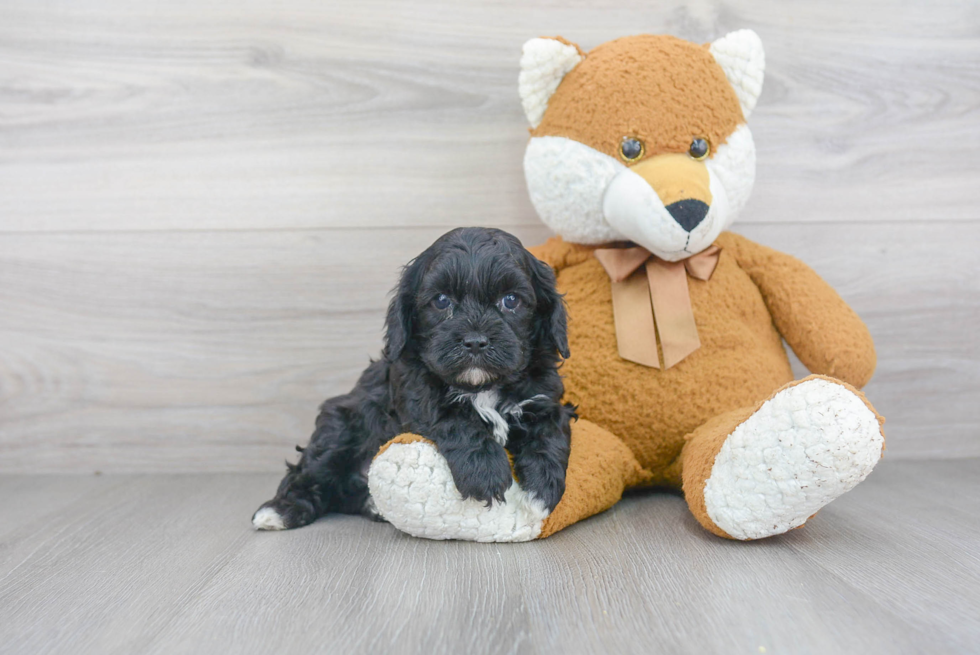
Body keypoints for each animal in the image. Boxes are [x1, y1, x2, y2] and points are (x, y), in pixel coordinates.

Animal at [253, 228, 576, 532]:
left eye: (511, 300)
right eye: (442, 301)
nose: (474, 341)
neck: (481, 386)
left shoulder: (544, 398)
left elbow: (549, 433)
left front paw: (542, 489)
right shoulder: (413, 388)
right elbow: (454, 418)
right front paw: (485, 471)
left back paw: (372, 504)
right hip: (340, 425)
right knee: (310, 470)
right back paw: (279, 510)